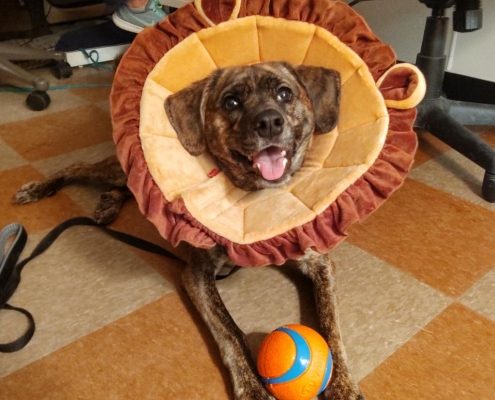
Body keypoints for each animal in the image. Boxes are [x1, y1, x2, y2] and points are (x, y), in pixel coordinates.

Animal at [12, 61, 364, 398]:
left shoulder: (319, 262)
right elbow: (230, 330)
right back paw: (38, 189)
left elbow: (332, 326)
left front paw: (343, 385)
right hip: (113, 170)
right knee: (81, 167)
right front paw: (252, 388)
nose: (268, 122)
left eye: (284, 94)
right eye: (231, 102)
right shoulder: (197, 273)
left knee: (135, 189)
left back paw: (108, 204)